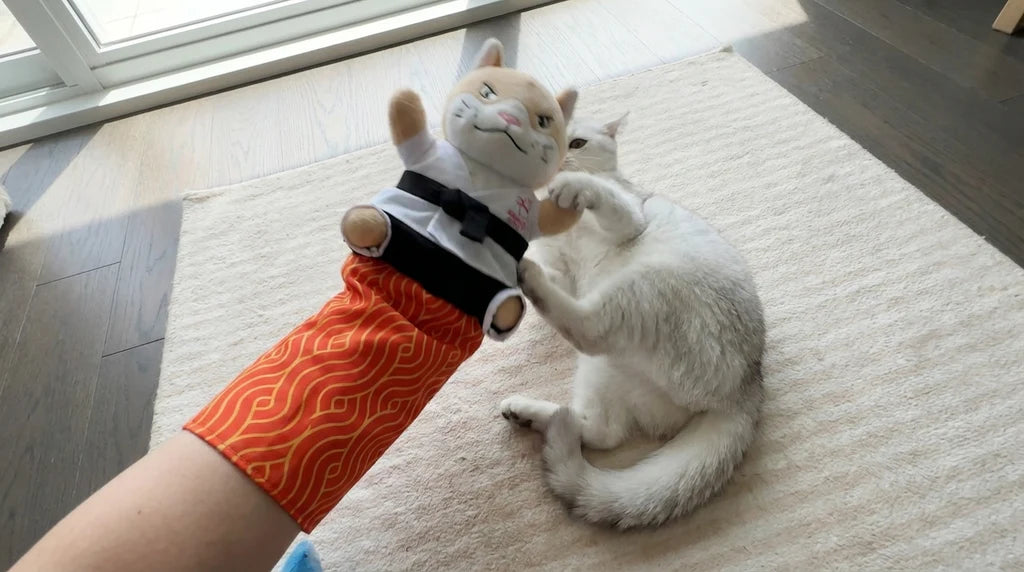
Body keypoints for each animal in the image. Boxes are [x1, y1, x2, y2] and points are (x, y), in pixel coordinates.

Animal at [499, 113, 766, 529]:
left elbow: (607, 200)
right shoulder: (562, 273)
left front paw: (572, 186)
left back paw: (528, 274)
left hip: (643, 288)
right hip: (606, 369)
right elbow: (556, 273)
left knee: (587, 330)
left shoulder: (628, 218)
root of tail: (747, 386)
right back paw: (530, 414)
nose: (555, 162)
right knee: (600, 432)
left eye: (576, 143)